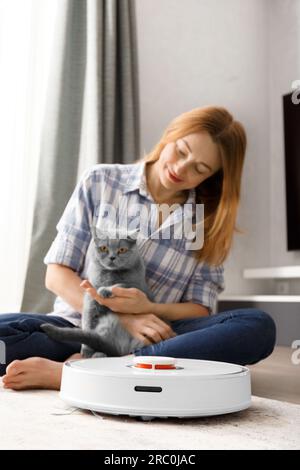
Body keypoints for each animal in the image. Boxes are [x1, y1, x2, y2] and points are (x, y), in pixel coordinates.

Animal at [41, 226, 162, 358]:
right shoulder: (90, 302)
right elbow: (88, 325)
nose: (112, 257)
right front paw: (86, 352)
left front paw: (104, 290)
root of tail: (119, 351)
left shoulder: (136, 287)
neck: (110, 274)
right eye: (104, 248)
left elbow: (120, 285)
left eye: (122, 250)